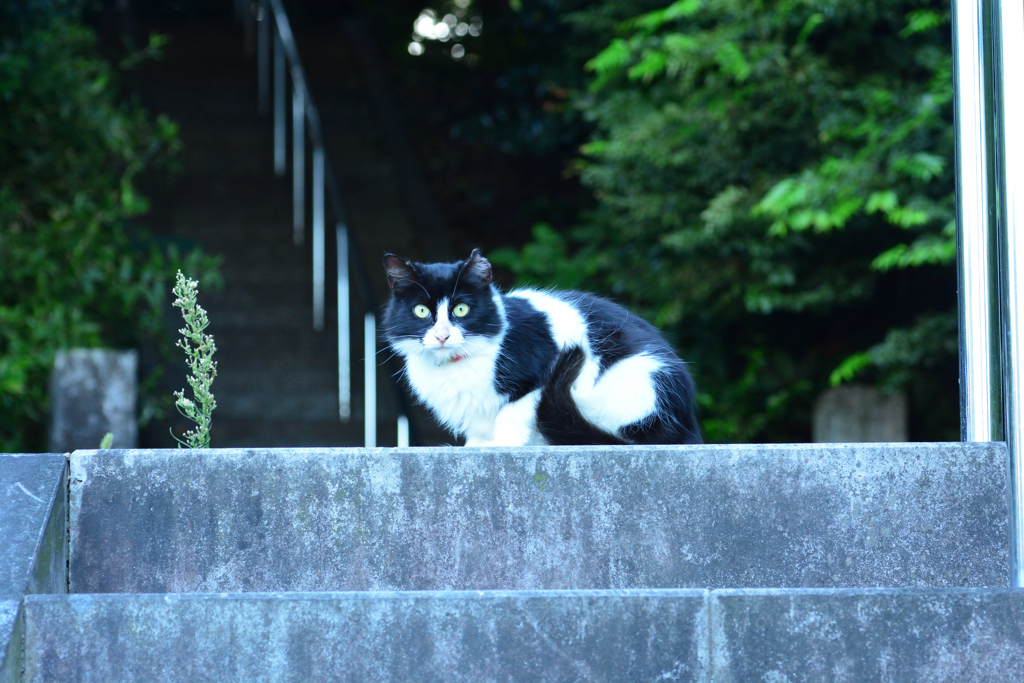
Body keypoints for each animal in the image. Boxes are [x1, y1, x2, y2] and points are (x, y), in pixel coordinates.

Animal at [380, 248, 700, 446]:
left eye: (460, 309)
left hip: (632, 382)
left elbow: (514, 411)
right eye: (422, 311)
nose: (442, 335)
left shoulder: (536, 374)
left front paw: (503, 444)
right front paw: (476, 445)